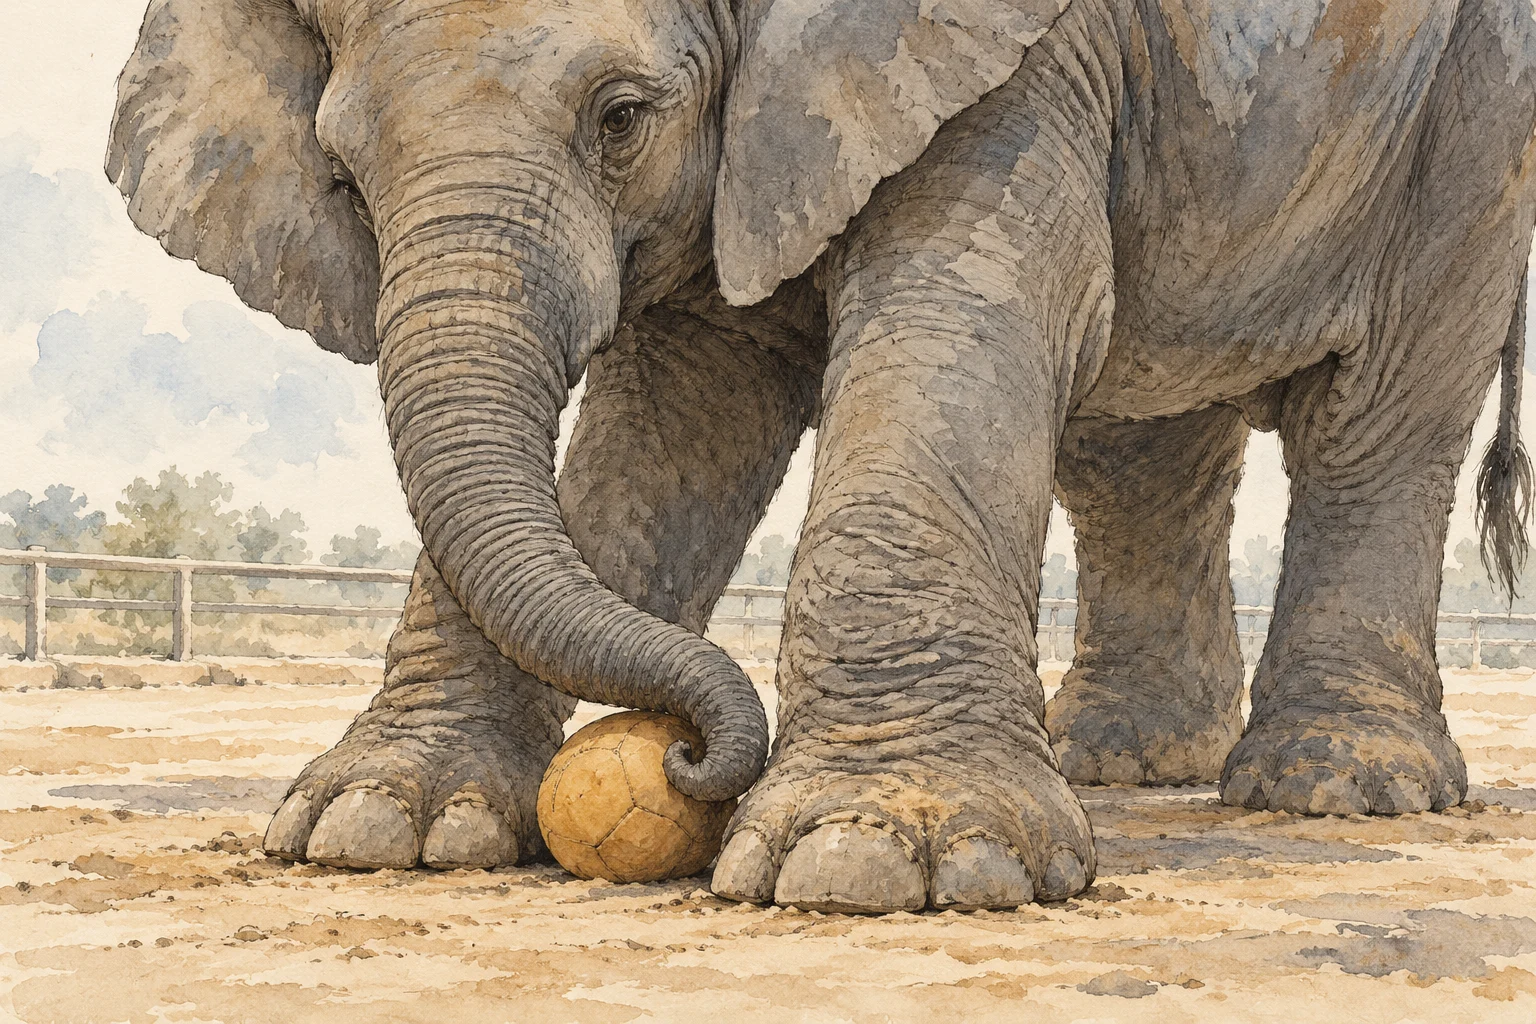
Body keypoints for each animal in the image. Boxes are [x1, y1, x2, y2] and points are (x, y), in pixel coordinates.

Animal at [106, 0, 1536, 913]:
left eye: (622, 116)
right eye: (342, 175)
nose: (683, 756)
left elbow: (960, 311)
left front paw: (879, 865)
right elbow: (686, 407)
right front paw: (376, 828)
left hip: (1476, 102)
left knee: (1382, 414)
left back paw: (1336, 788)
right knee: (1139, 449)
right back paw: (1118, 766)